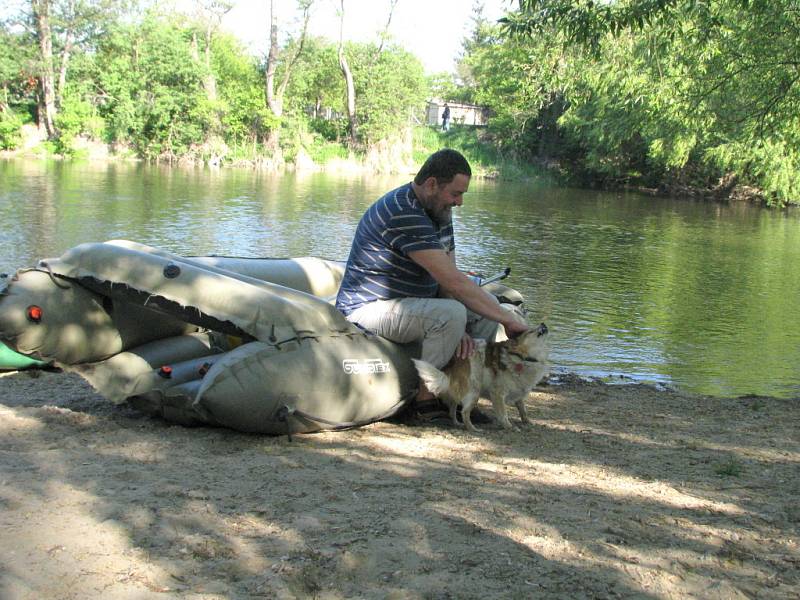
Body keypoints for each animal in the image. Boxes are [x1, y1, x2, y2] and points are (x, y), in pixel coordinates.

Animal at [412, 324, 552, 432]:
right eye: (531, 331)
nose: (543, 324)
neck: (524, 359)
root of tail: (452, 364)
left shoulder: (520, 391)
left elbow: (523, 409)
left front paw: (527, 421)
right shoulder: (497, 393)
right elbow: (503, 414)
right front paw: (509, 427)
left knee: (452, 409)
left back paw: (457, 423)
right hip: (474, 390)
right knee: (464, 412)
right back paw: (473, 429)